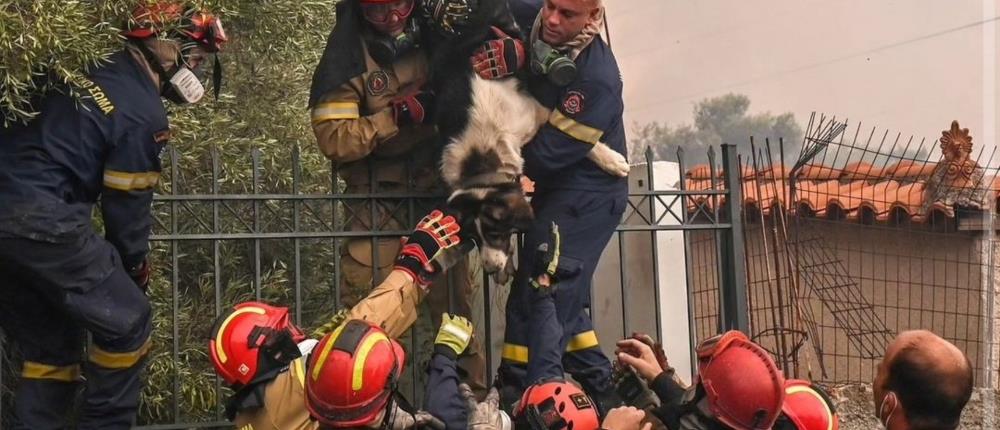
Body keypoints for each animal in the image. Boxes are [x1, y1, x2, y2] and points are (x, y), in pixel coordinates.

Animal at [0, 1, 226, 428]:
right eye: (197, 55)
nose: (201, 73)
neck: (135, 61)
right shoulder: (146, 134)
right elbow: (126, 213)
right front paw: (139, 273)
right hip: (62, 253)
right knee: (126, 326)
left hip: (23, 283)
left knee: (50, 356)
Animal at [308, 0, 488, 394]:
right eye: (378, 13)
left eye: (400, 9)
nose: (394, 25)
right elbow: (336, 133)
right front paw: (413, 106)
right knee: (364, 267)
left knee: (451, 289)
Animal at [420, 0, 624, 280]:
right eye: (474, 238)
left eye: (495, 233)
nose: (490, 268)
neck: (481, 160)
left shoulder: (537, 113)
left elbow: (579, 140)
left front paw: (612, 160)